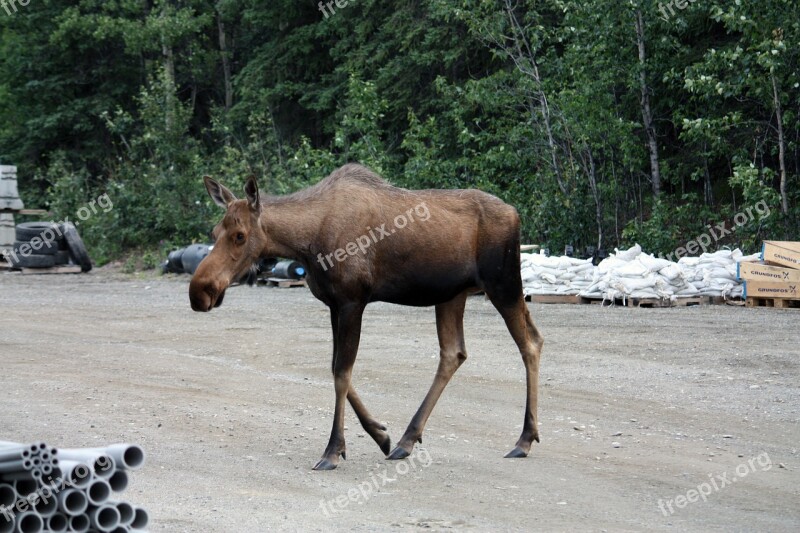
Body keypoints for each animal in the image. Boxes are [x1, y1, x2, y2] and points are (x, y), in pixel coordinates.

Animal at [191, 163, 548, 470]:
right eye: (214, 230)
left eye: (239, 235)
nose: (199, 291)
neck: (305, 244)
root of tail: (515, 213)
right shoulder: (335, 304)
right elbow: (336, 368)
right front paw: (380, 435)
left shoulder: (352, 301)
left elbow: (341, 372)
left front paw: (333, 450)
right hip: (452, 295)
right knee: (454, 352)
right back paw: (406, 440)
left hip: (503, 284)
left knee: (530, 342)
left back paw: (524, 439)